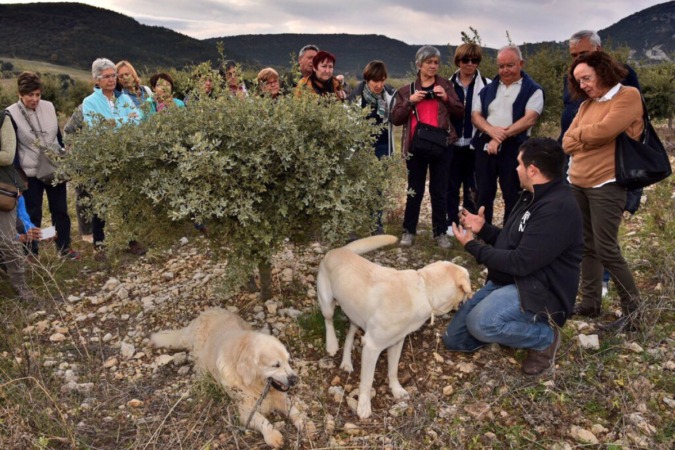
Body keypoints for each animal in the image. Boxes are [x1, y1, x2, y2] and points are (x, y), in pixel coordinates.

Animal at [152, 308, 312, 448]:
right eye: (276, 365)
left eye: (288, 361)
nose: (295, 379)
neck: (254, 385)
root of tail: (203, 314)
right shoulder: (245, 409)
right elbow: (262, 420)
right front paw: (273, 435)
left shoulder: (280, 397)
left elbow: (294, 410)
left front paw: (304, 423)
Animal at [318, 236, 472, 418]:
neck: (424, 290)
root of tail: (339, 249)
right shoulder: (372, 347)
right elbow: (367, 381)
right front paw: (363, 406)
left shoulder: (397, 343)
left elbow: (393, 370)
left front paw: (396, 390)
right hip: (327, 304)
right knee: (328, 320)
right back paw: (332, 344)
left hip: (355, 316)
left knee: (349, 337)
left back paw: (347, 363)